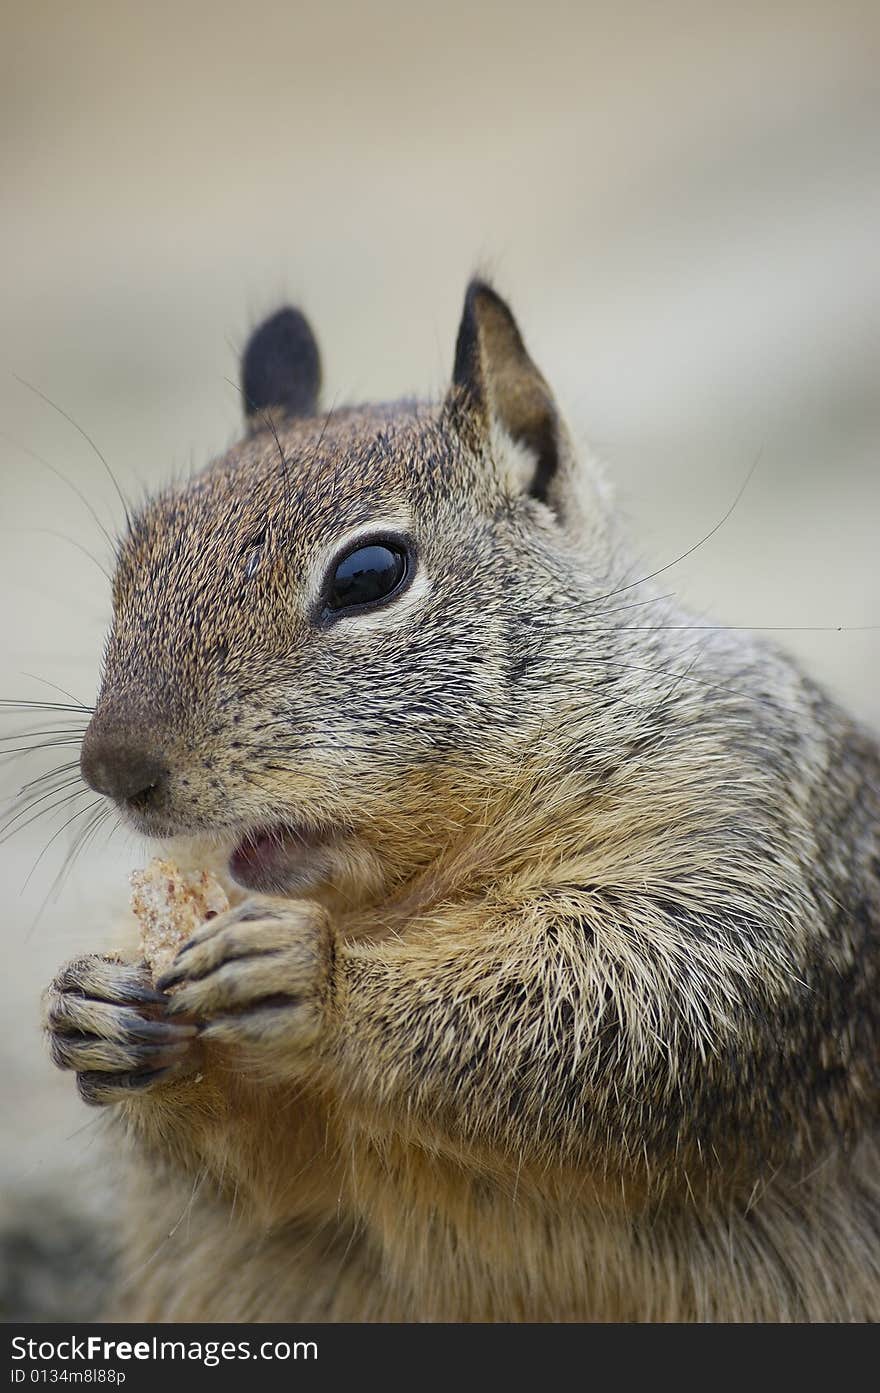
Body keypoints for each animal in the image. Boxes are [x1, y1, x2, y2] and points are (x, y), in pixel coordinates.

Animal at [41, 279, 880, 1314]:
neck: (399, 892)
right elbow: (272, 1171)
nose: (113, 766)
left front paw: (315, 978)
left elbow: (628, 1009)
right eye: (135, 556)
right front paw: (96, 1008)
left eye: (370, 575)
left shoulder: (745, 838)